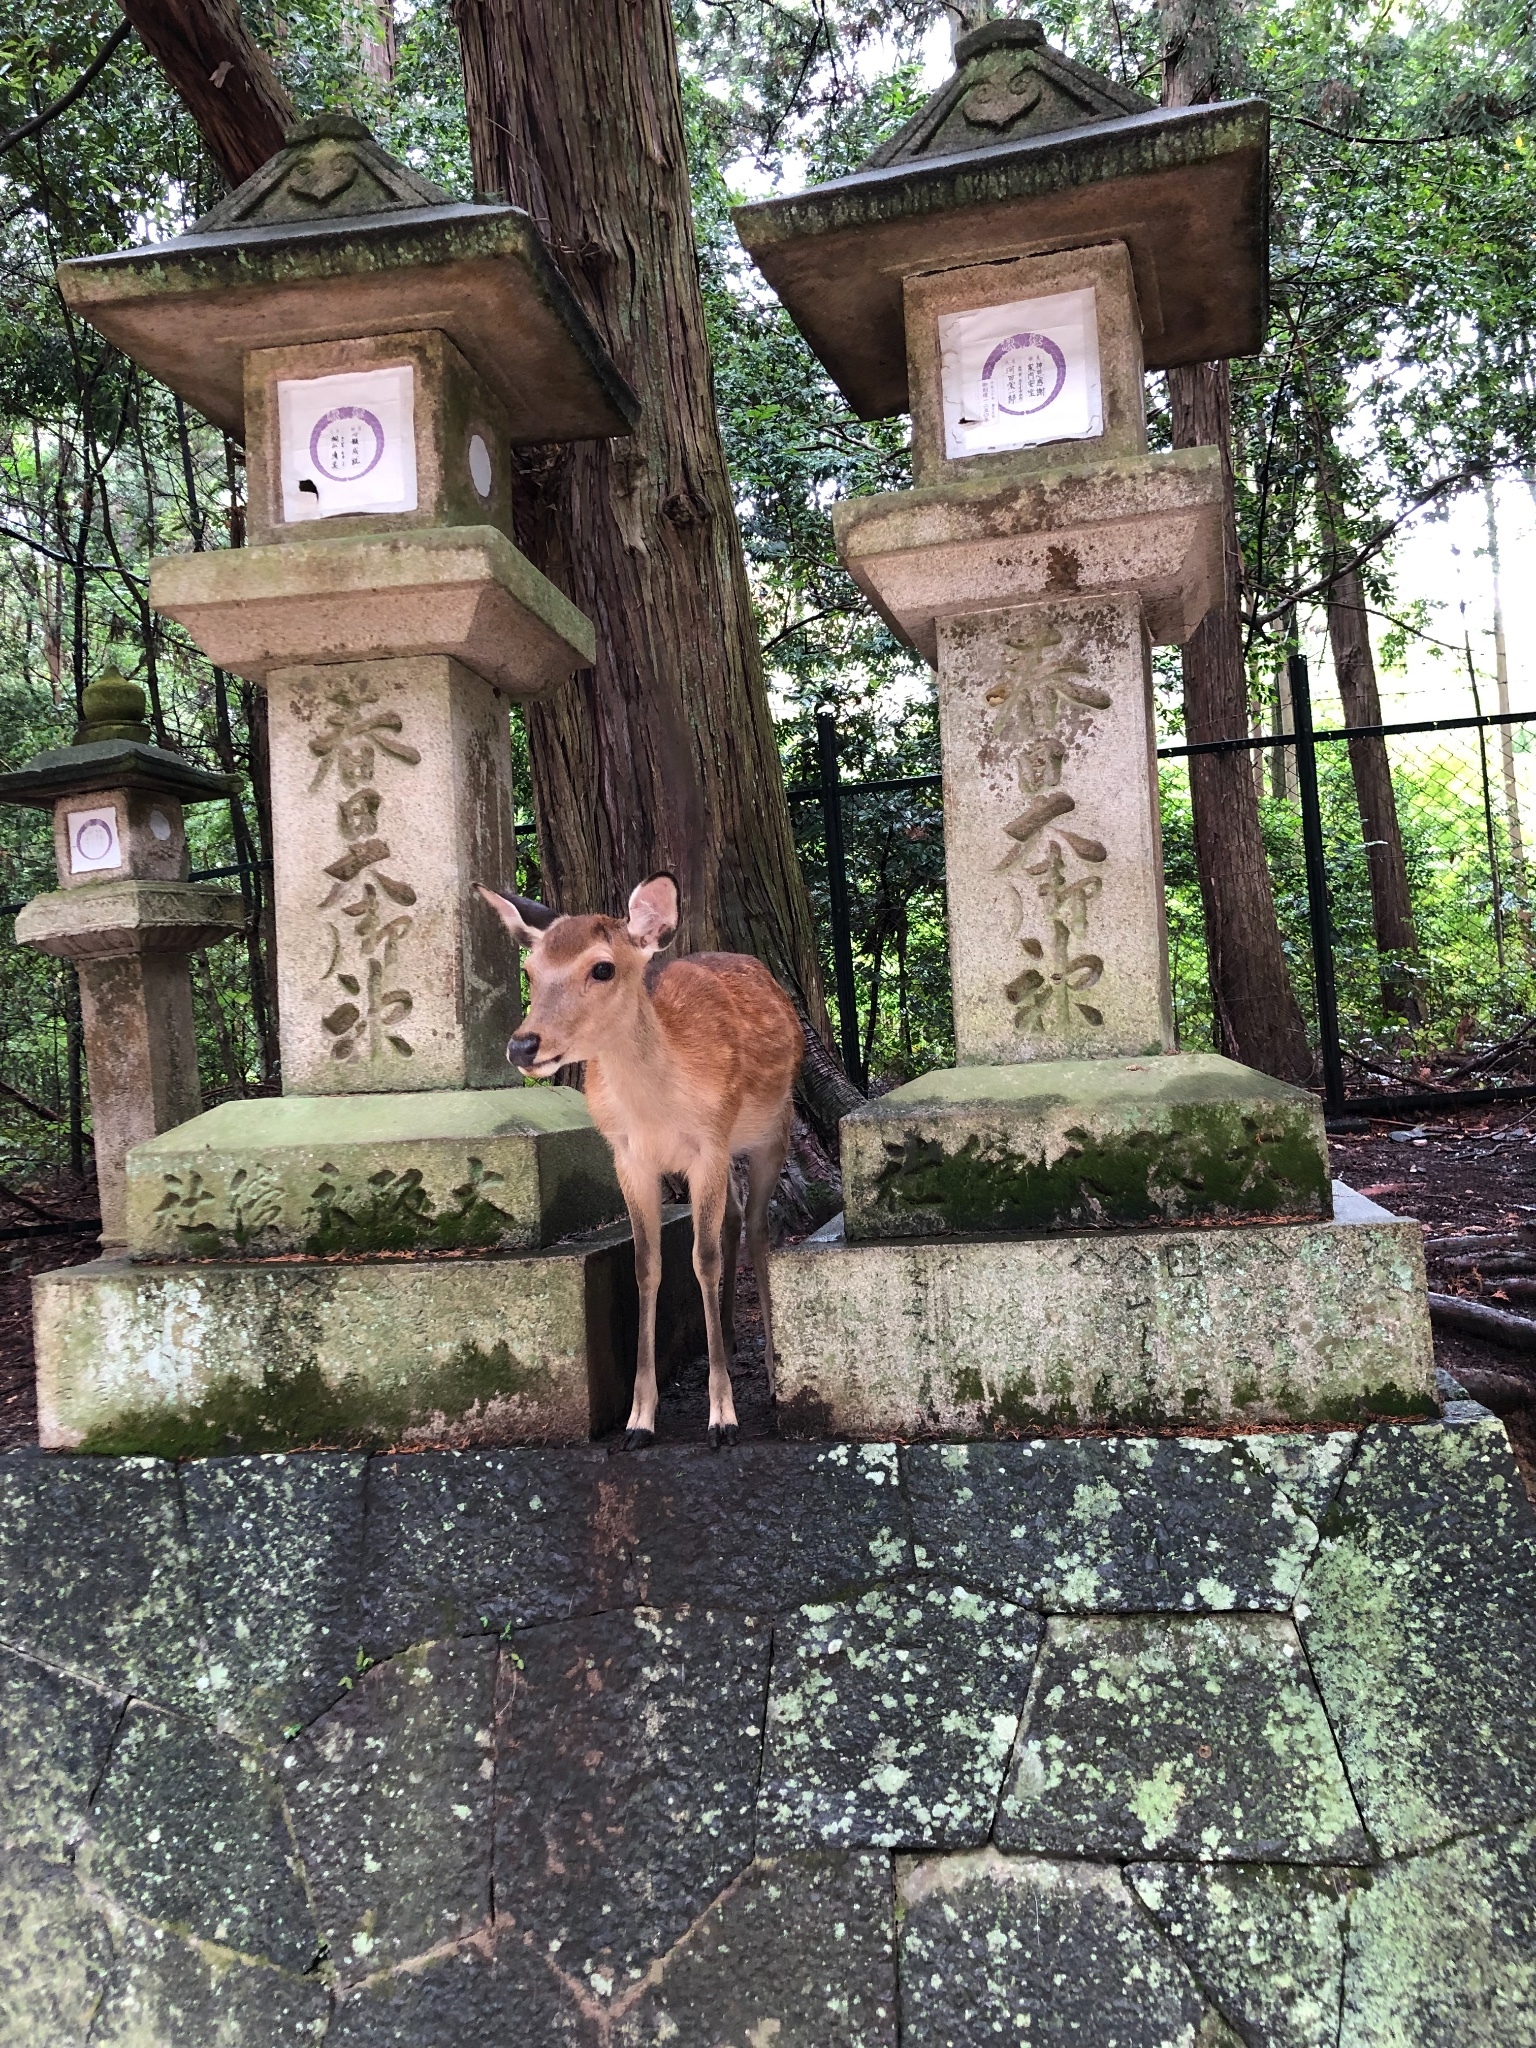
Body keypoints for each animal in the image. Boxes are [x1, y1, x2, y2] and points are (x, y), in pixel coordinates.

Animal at [475, 872, 798, 1449]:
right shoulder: (627, 1156)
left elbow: (702, 1259)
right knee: (737, 1219)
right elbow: (646, 1265)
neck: (656, 1110)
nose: (523, 1045)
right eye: (529, 970)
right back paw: (731, 1340)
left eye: (602, 968)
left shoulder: (708, 1144)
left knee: (760, 1229)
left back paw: (768, 1364)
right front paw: (638, 1419)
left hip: (772, 1131)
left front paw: (722, 1418)